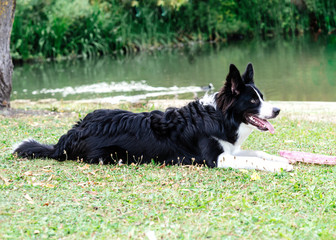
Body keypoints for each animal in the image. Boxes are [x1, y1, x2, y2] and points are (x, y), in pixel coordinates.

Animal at [13, 63, 292, 172]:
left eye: (263, 97)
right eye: (253, 101)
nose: (278, 110)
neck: (220, 116)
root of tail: (72, 132)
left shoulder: (230, 150)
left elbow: (258, 154)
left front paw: (283, 160)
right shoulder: (215, 159)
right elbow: (253, 161)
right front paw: (280, 166)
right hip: (112, 155)